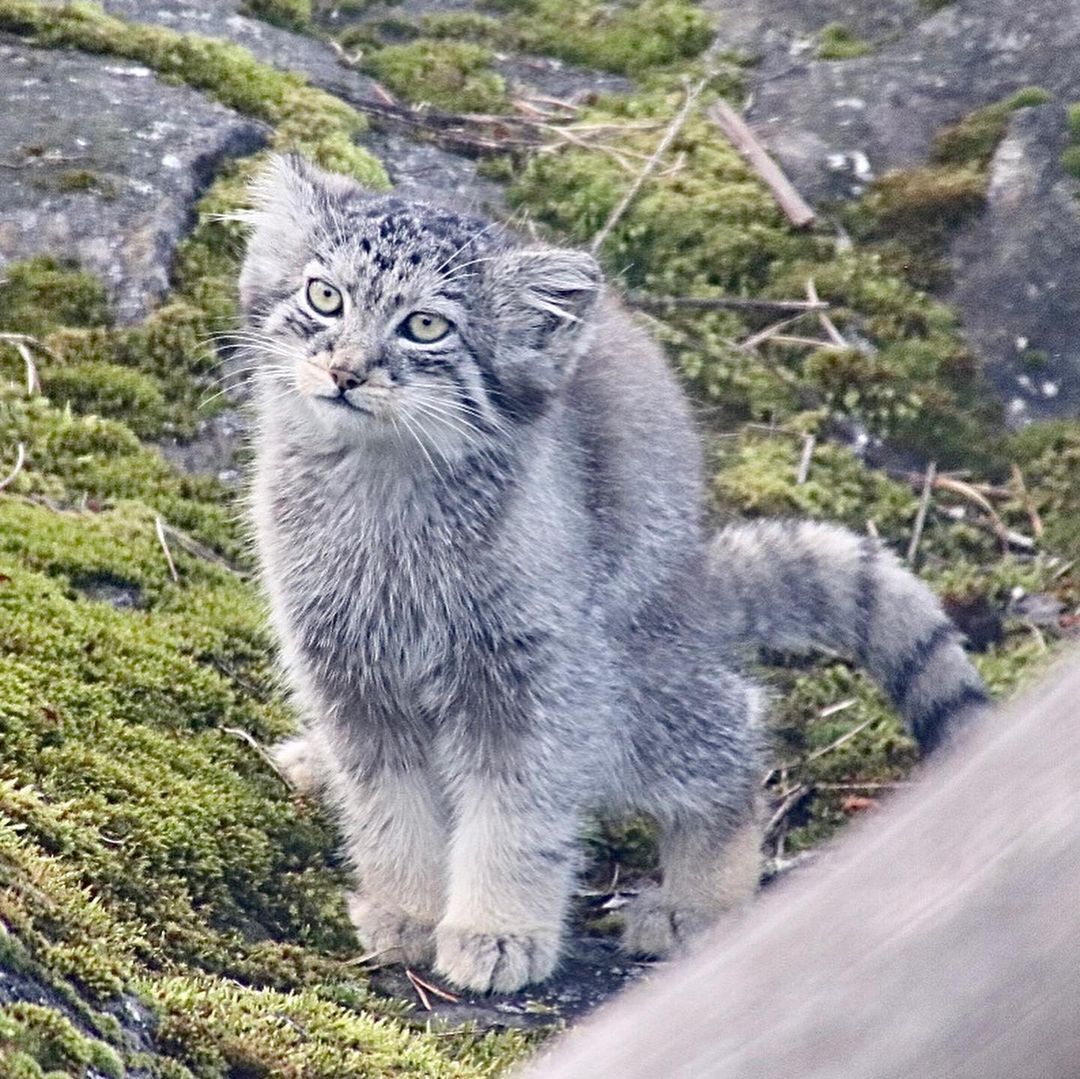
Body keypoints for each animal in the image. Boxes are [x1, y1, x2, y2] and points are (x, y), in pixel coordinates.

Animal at [240, 154, 989, 993]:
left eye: (427, 325)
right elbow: (388, 807)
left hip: (634, 693)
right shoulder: (348, 675)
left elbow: (518, 816)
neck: (382, 495)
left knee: (733, 733)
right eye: (324, 296)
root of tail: (694, 583)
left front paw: (498, 929)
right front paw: (406, 908)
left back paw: (698, 903)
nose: (344, 370)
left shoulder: (535, 681)